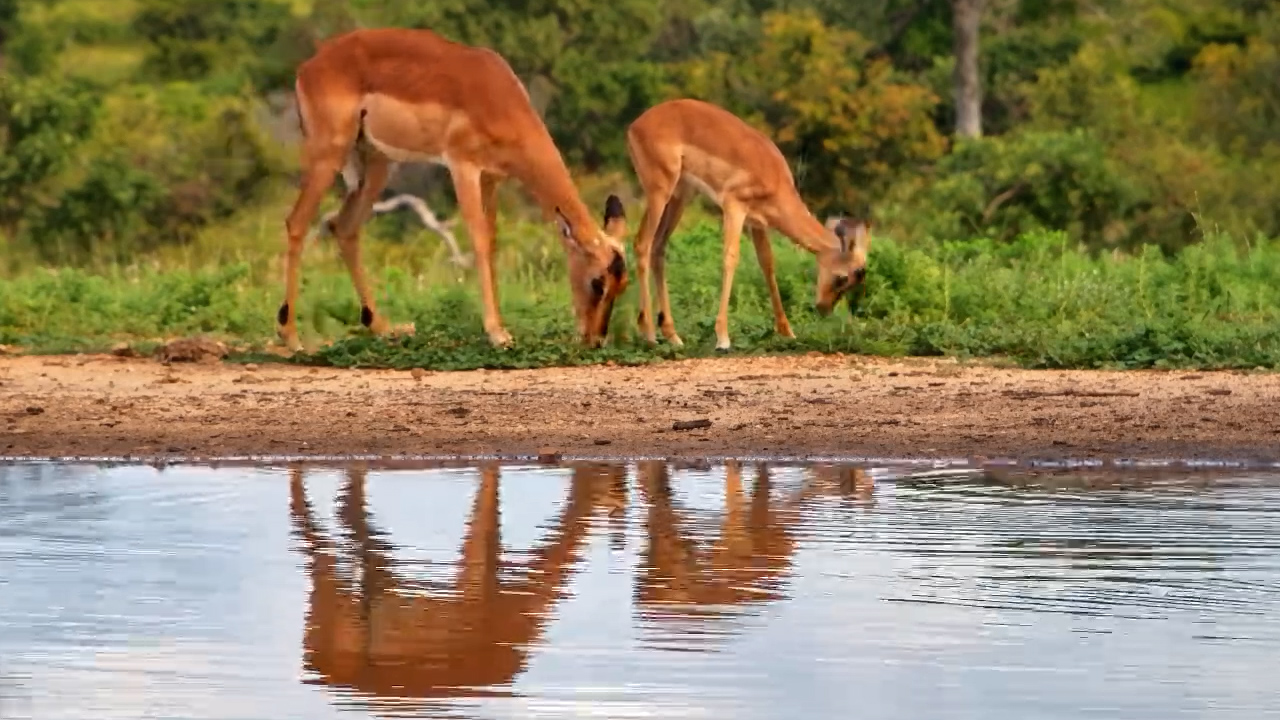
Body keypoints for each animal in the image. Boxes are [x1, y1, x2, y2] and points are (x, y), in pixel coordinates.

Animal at [278, 28, 629, 351]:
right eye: (597, 282)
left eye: (622, 284)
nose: (596, 340)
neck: (498, 98)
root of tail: (311, 64)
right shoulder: (463, 167)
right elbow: (478, 240)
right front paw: (497, 334)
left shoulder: (491, 177)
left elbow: (492, 241)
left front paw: (500, 327)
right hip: (329, 155)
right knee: (297, 222)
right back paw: (291, 337)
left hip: (378, 163)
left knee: (345, 227)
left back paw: (384, 328)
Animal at [626, 98, 872, 350]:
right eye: (844, 277)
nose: (824, 308)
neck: (772, 174)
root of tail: (638, 123)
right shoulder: (734, 207)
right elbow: (730, 258)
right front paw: (723, 338)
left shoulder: (758, 223)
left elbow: (767, 264)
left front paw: (788, 332)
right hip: (659, 193)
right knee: (641, 244)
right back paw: (649, 334)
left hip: (679, 198)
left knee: (658, 248)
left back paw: (673, 336)